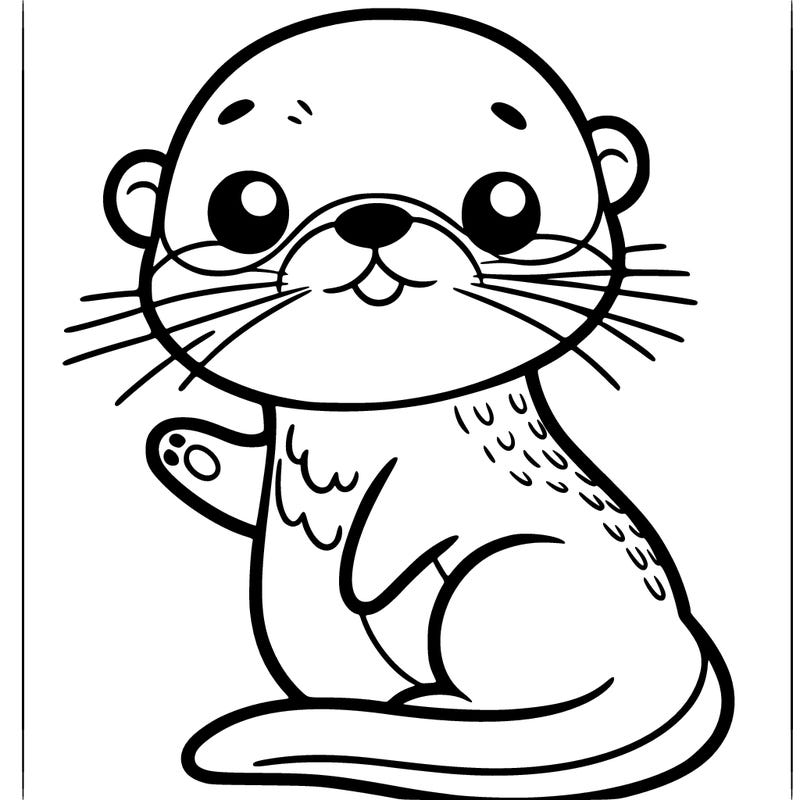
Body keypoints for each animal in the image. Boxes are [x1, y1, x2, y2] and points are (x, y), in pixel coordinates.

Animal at [80, 9, 732, 799]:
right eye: (243, 207)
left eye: (506, 206)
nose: (373, 217)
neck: (365, 423)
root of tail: (674, 654)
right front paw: (188, 451)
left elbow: (404, 523)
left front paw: (364, 567)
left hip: (508, 576)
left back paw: (438, 705)